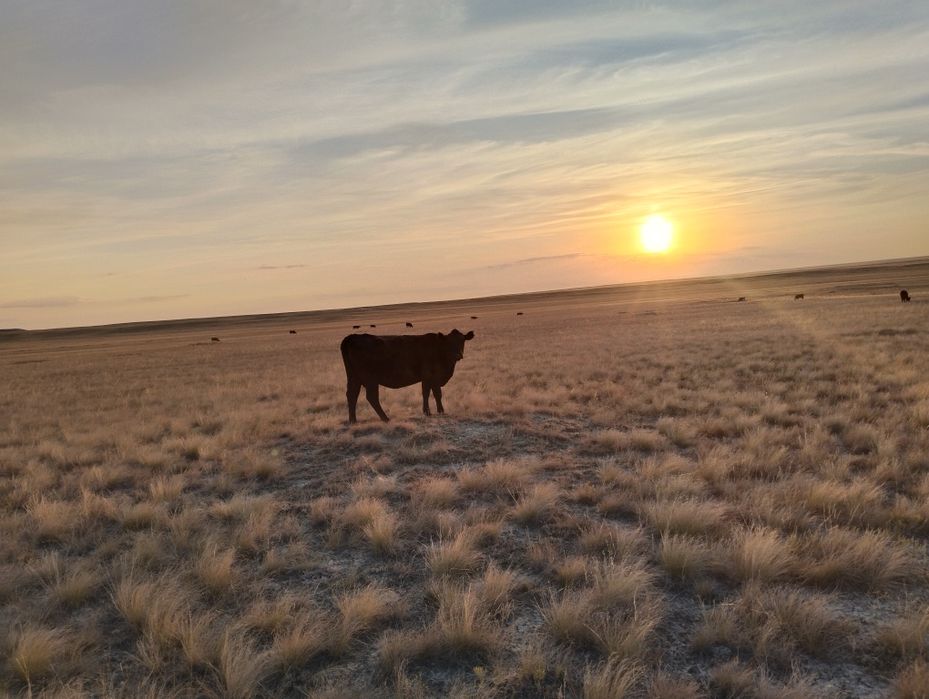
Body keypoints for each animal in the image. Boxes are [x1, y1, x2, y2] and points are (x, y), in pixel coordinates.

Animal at [340, 329, 475, 423]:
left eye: (462, 340)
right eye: (449, 342)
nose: (458, 355)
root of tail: (352, 337)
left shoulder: (433, 379)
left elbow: (437, 394)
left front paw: (440, 411)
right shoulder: (428, 377)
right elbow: (428, 393)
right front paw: (428, 412)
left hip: (354, 378)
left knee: (352, 395)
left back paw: (353, 420)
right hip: (370, 380)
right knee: (371, 397)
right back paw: (385, 418)